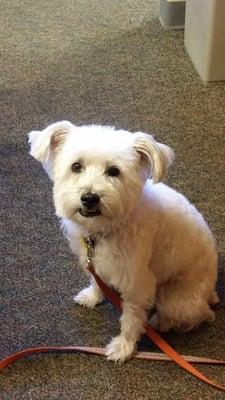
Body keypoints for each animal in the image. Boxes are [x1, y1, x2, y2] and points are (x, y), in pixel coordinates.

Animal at [27, 120, 218, 360]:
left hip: (174, 299)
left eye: (114, 171)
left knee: (199, 315)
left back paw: (161, 321)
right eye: (76, 166)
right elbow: (96, 280)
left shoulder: (137, 284)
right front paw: (92, 297)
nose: (89, 198)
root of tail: (210, 292)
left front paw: (123, 347)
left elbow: (130, 319)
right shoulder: (94, 260)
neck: (110, 226)